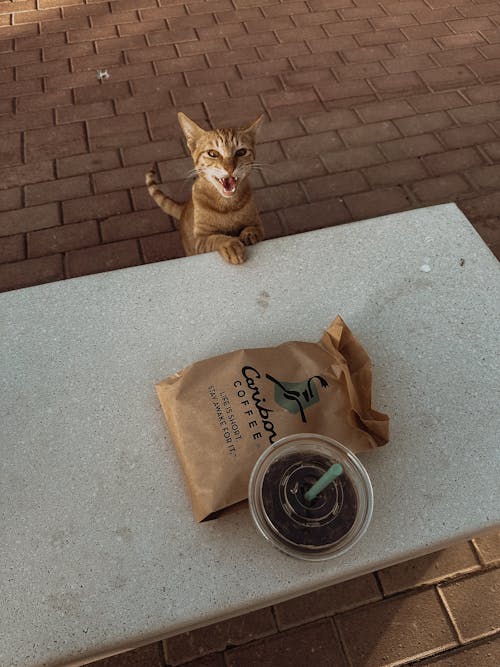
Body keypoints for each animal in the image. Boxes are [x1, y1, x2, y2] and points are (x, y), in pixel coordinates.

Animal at [146, 111, 266, 264]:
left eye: (241, 152)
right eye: (213, 154)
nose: (230, 168)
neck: (227, 206)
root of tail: (184, 207)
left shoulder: (258, 223)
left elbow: (255, 228)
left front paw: (249, 233)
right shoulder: (200, 241)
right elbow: (217, 238)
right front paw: (231, 245)